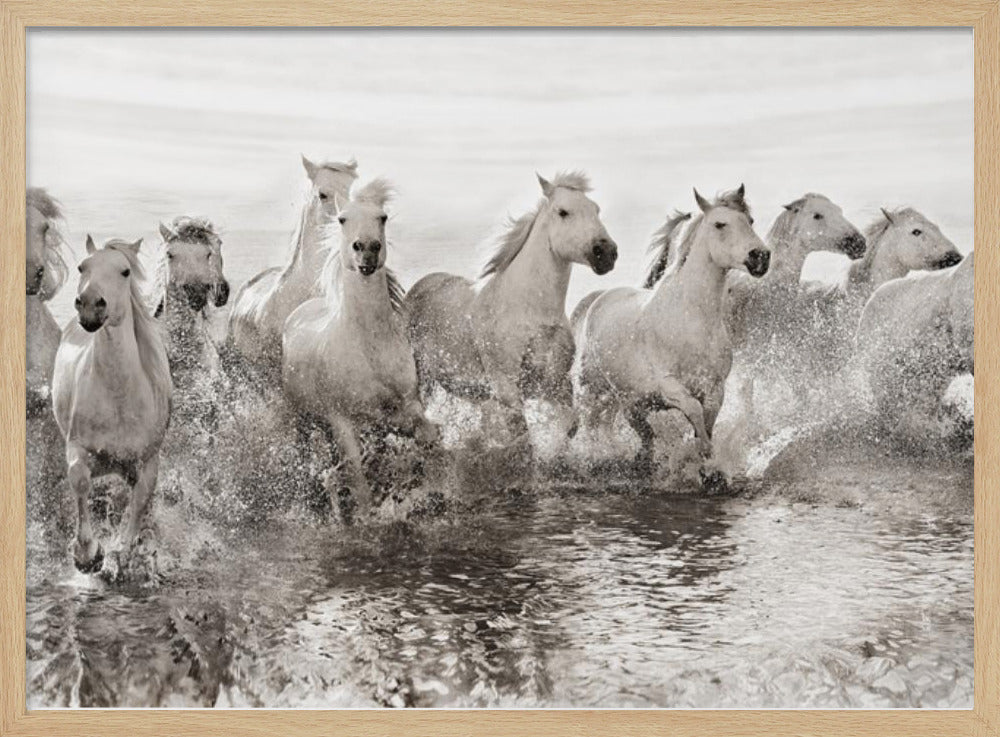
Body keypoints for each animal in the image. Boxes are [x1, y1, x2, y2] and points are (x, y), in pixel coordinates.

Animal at [52, 237, 172, 574]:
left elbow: (140, 501)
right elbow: (80, 482)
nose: (90, 304)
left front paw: (121, 549)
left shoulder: (148, 462)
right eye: (82, 267)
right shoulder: (78, 448)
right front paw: (88, 555)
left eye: (125, 271)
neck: (119, 400)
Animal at [282, 180, 437, 517]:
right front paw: (366, 514)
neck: (369, 347)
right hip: (302, 419)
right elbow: (358, 478)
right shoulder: (342, 422)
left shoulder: (405, 406)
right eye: (342, 219)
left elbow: (426, 436)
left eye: (383, 217)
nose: (367, 249)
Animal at [406, 172, 618, 453]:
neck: (530, 310)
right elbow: (521, 434)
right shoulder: (506, 387)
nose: (606, 253)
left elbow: (570, 424)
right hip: (422, 377)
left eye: (596, 209)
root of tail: (420, 285)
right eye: (563, 212)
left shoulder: (554, 382)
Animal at [570, 186, 768, 476]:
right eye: (720, 224)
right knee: (590, 422)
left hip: (631, 400)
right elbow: (695, 411)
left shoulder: (715, 387)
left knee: (642, 434)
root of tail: (596, 299)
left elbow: (706, 421)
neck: (692, 321)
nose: (761, 257)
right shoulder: (669, 385)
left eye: (750, 221)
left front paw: (709, 467)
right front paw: (703, 455)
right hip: (592, 389)